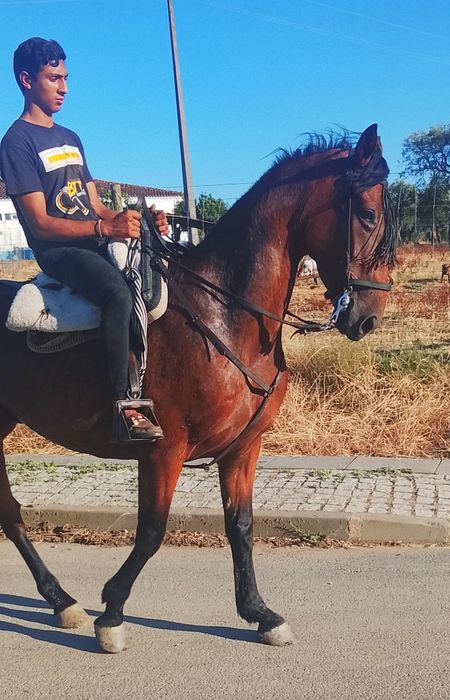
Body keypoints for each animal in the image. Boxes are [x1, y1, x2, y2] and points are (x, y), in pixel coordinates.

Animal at [0, 124, 396, 653]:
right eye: (368, 213)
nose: (368, 317)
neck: (225, 313)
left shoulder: (243, 448)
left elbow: (241, 525)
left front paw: (259, 613)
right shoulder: (163, 449)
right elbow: (151, 532)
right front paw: (113, 612)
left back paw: (61, 601)